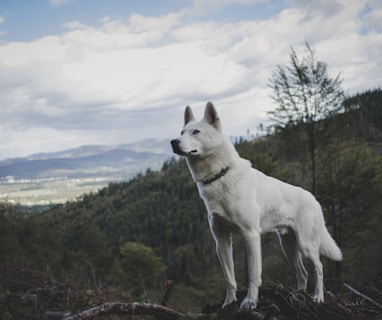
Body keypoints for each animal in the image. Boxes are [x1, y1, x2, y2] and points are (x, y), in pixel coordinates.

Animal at [171, 102, 344, 310]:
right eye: (182, 132)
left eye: (196, 132)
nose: (173, 142)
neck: (220, 175)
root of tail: (314, 199)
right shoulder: (221, 241)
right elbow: (230, 278)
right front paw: (229, 302)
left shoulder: (251, 235)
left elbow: (254, 274)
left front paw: (250, 302)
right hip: (288, 247)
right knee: (303, 273)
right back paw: (298, 295)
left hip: (306, 245)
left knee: (319, 268)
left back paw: (318, 297)